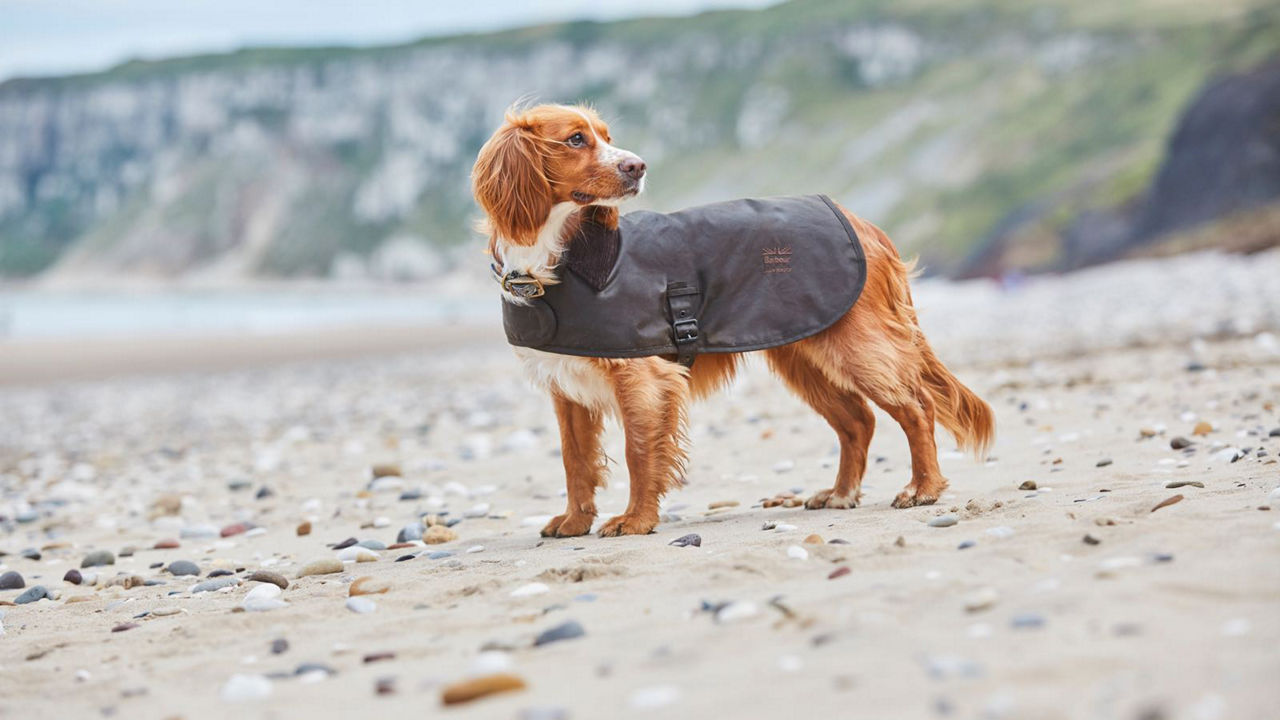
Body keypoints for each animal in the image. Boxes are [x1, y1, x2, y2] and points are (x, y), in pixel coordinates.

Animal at [468, 103, 988, 535]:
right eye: (576, 139)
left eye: (606, 136)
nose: (637, 166)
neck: (560, 258)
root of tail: (862, 223)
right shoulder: (567, 390)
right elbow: (575, 461)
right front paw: (575, 522)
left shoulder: (643, 378)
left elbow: (639, 452)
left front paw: (636, 520)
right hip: (805, 357)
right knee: (857, 422)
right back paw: (841, 494)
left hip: (858, 346)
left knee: (916, 407)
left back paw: (923, 488)